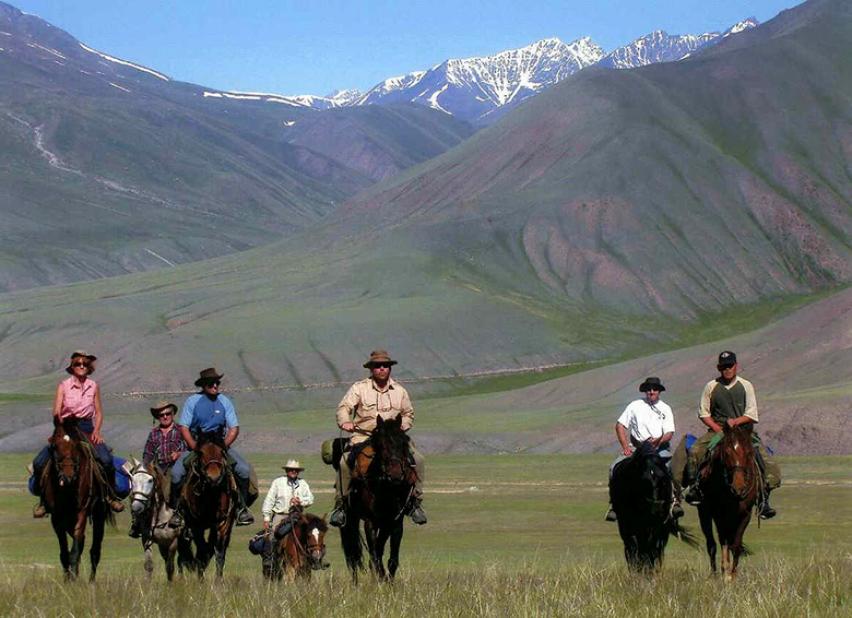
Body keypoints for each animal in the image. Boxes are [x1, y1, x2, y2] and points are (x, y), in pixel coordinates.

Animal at [41, 416, 115, 580]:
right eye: (54, 446)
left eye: (76, 445)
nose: (67, 477)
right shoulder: (56, 518)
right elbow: (65, 553)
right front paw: (68, 579)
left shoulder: (82, 511)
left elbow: (74, 551)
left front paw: (73, 579)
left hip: (99, 514)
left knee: (94, 550)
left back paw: (91, 581)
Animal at [182, 430, 236, 576]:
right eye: (201, 452)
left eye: (222, 451)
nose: (214, 477)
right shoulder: (196, 525)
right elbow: (201, 551)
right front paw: (200, 578)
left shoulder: (223, 522)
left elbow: (219, 553)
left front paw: (218, 580)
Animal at [340, 416, 420, 580]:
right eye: (381, 445)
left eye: (403, 442)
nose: (395, 474)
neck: (386, 489)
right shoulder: (370, 522)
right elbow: (375, 553)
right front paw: (379, 578)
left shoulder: (394, 522)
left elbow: (391, 558)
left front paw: (387, 580)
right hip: (351, 518)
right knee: (353, 555)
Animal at [608, 440, 696, 572]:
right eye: (643, 480)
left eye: (663, 479)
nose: (657, 507)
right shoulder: (627, 524)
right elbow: (633, 548)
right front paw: (636, 571)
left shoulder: (657, 525)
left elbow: (651, 549)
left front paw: (648, 571)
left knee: (658, 549)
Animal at [696, 424, 764, 576]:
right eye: (726, 453)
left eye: (749, 453)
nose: (738, 488)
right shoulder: (718, 514)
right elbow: (724, 541)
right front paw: (725, 572)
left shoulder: (745, 514)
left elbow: (736, 545)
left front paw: (732, 575)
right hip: (704, 513)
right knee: (712, 544)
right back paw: (714, 574)